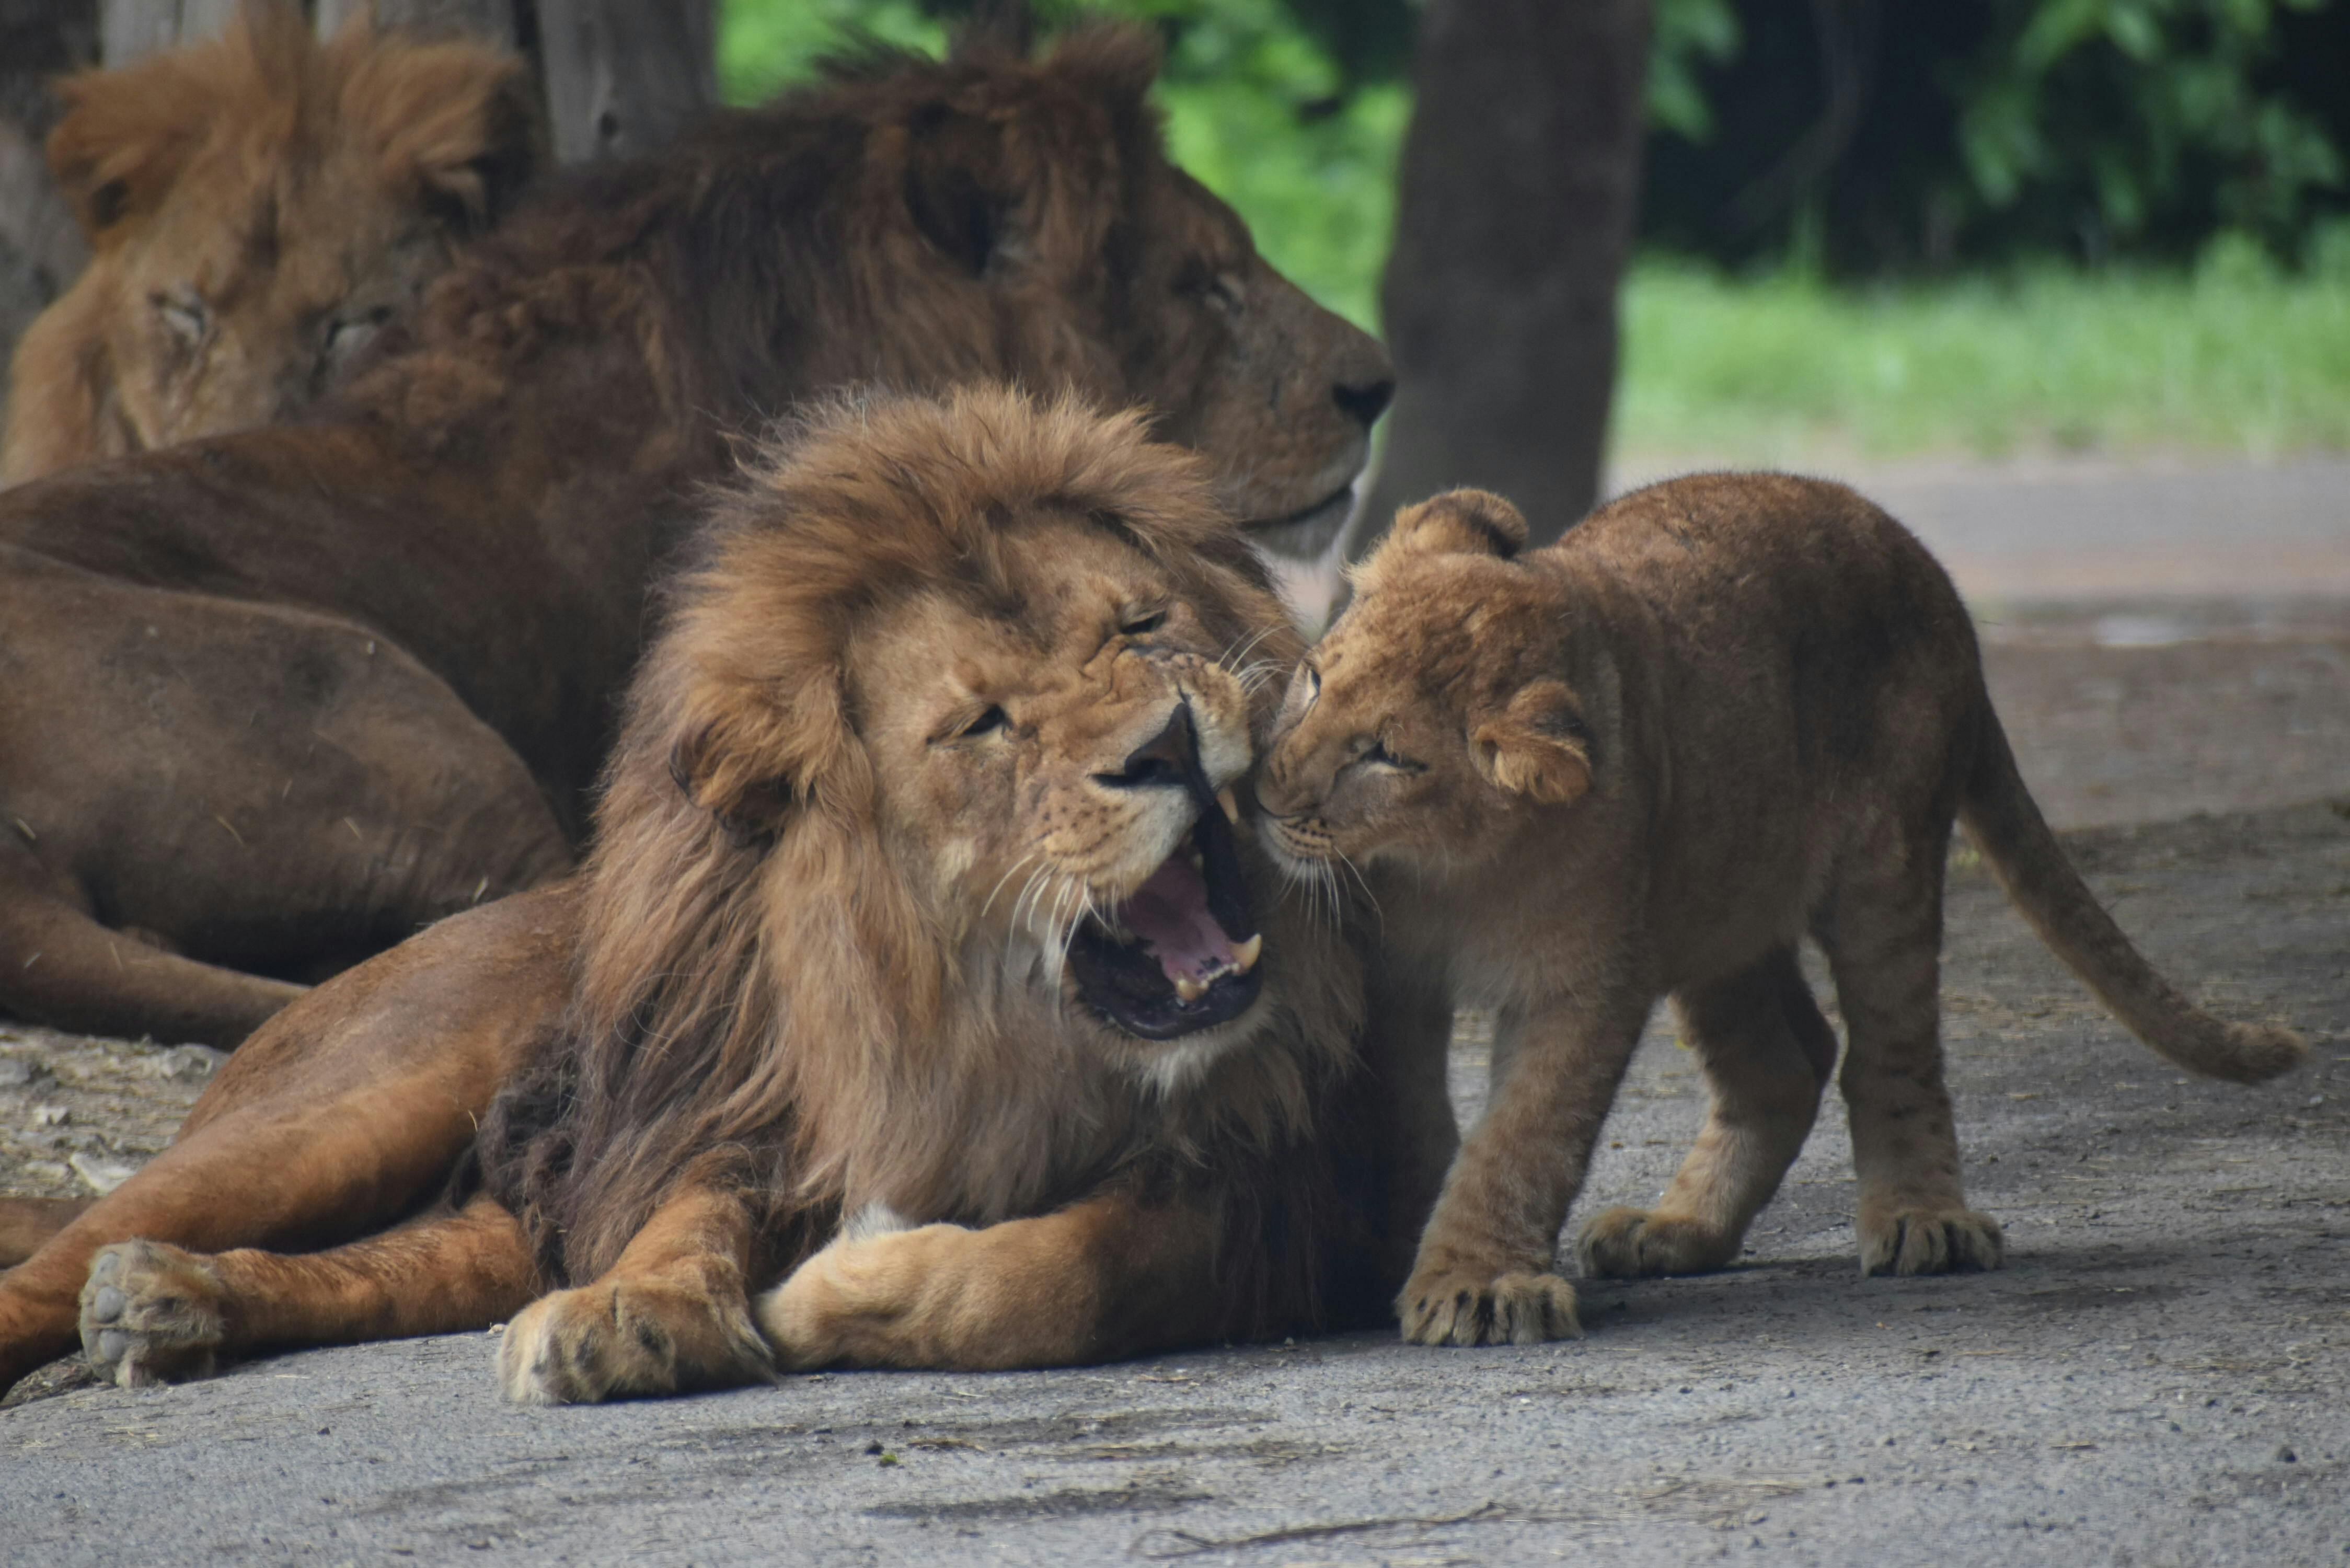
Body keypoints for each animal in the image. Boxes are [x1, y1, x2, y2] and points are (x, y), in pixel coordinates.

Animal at [0, 390, 1447, 1401]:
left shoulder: (1311, 1189)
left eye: (1142, 628)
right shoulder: (721, 1118)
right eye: (983, 723)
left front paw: (828, 1293)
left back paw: (172, 1303)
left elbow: (1064, 1272)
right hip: (344, 1112)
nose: (1166, 746)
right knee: (50, 1262)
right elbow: (685, 1213)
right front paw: (631, 1315)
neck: (987, 1037)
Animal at [1259, 479, 2303, 1354]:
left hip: (1882, 868)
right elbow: (1405, 1121)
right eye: (1313, 679)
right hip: (1711, 902)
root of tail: (1929, 571)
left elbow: (1524, 1140)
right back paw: (1671, 1232)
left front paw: (1474, 1285)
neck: (1445, 870)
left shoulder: (1584, 988)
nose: (1265, 793)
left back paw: (1922, 1222)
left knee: (1887, 1059)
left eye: (1386, 756)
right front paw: (1401, 1244)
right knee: (1785, 1062)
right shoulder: (1394, 978)